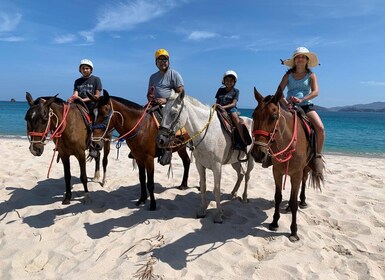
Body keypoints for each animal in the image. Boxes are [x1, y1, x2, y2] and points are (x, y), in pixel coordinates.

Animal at [157, 91, 255, 223]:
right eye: (162, 112)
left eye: (174, 113)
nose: (160, 140)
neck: (207, 134)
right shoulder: (200, 164)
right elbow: (203, 187)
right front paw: (202, 211)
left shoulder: (217, 166)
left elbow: (217, 189)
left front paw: (218, 215)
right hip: (234, 161)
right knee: (240, 174)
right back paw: (233, 193)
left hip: (250, 159)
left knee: (247, 176)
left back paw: (244, 197)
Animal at [250, 87, 322, 241]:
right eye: (254, 115)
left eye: (273, 116)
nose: (258, 154)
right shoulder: (277, 171)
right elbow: (278, 197)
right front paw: (274, 222)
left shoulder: (297, 173)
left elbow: (295, 202)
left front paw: (294, 231)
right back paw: (288, 206)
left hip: (305, 169)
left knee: (303, 182)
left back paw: (302, 201)